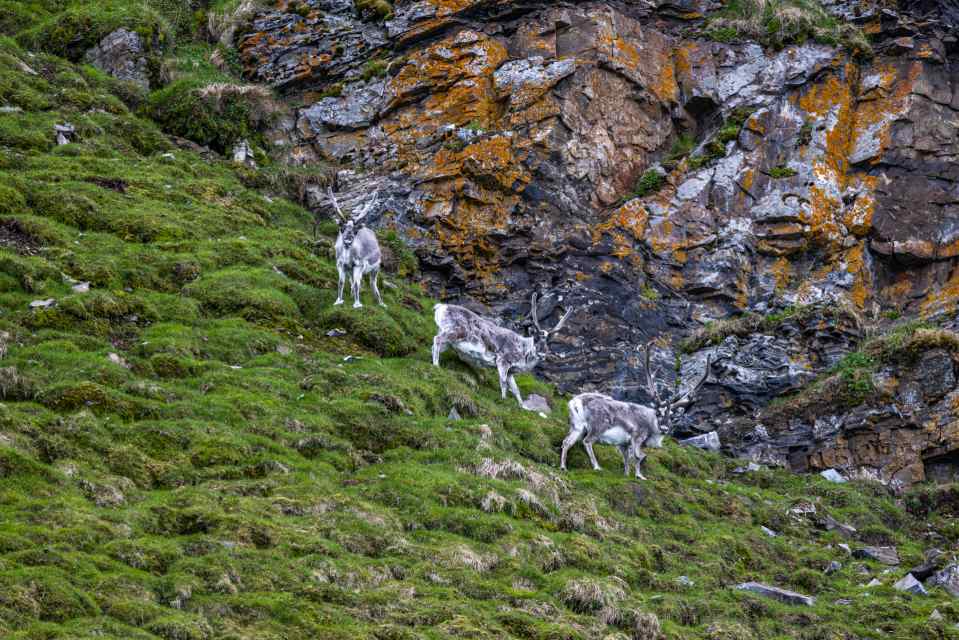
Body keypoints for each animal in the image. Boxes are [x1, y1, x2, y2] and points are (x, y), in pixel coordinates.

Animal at [432, 293, 574, 408]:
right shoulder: (502, 361)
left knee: (435, 345)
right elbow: (503, 382)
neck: (523, 352)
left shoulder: (511, 371)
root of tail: (440, 307)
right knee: (437, 339)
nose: (542, 354)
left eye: (548, 342)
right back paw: (436, 366)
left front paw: (523, 407)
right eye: (536, 338)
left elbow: (516, 390)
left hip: (450, 340)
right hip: (455, 332)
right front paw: (503, 400)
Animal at [560, 342, 711, 480]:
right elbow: (639, 456)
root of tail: (576, 402)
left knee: (566, 442)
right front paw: (639, 476)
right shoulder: (637, 437)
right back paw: (597, 467)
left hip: (577, 426)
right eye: (658, 413)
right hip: (598, 427)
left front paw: (626, 474)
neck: (651, 425)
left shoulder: (623, 443)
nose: (664, 428)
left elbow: (627, 458)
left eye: (672, 417)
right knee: (587, 441)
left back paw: (563, 467)